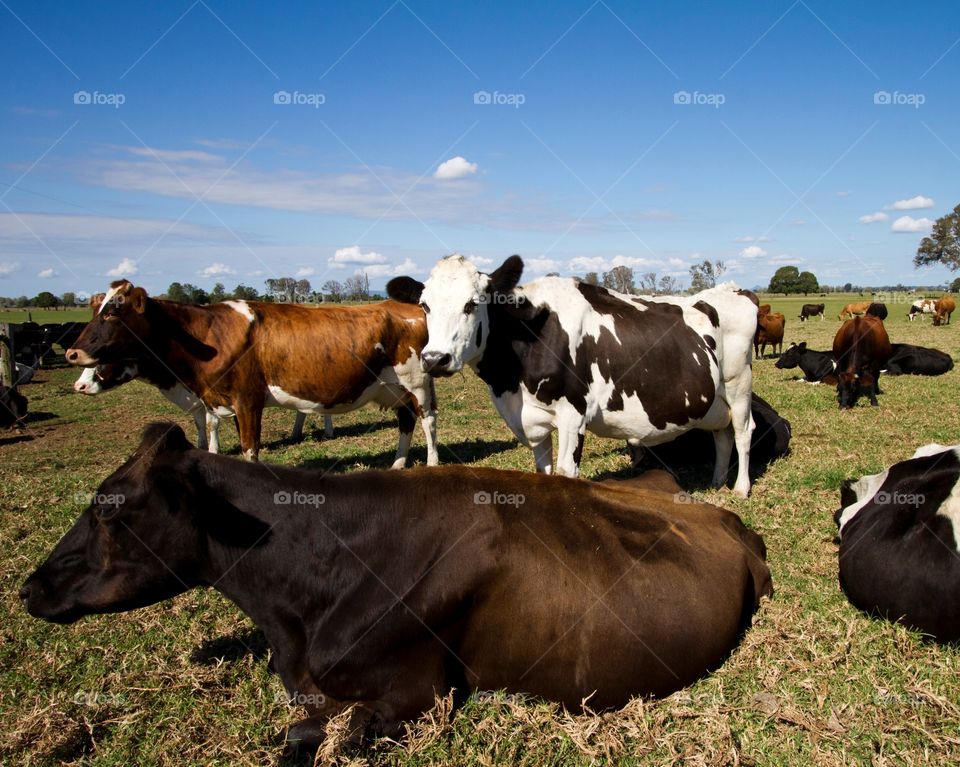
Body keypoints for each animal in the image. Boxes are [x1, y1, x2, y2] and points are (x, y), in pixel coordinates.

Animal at [67, 280, 438, 464]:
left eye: (113, 312)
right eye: (97, 310)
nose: (72, 353)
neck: (209, 334)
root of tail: (407, 307)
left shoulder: (247, 401)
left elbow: (248, 449)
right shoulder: (220, 401)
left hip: (417, 383)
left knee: (428, 422)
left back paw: (431, 463)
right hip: (395, 388)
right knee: (406, 421)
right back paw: (398, 464)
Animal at [388, 256, 756, 498]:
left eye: (472, 303)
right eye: (424, 306)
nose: (434, 359)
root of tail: (735, 290)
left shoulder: (573, 414)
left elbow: (567, 472)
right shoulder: (532, 418)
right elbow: (544, 472)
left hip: (739, 385)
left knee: (742, 432)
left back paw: (740, 488)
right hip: (715, 400)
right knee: (722, 434)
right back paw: (717, 481)